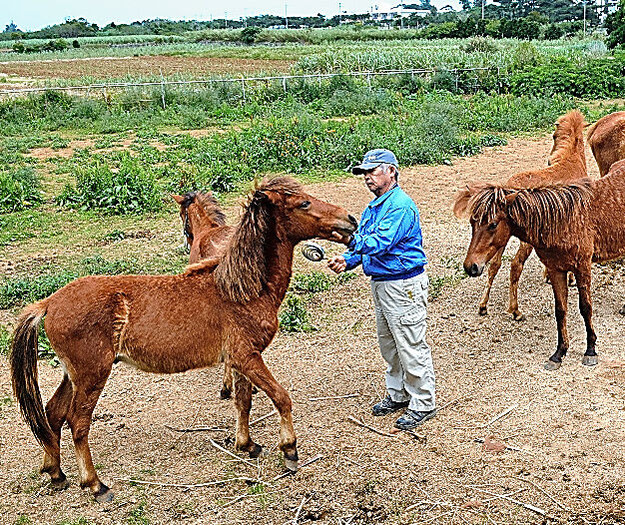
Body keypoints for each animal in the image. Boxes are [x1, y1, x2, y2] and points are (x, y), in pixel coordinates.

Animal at [450, 160, 625, 368]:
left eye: (493, 224)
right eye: (472, 222)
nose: (471, 266)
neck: (562, 221)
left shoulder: (582, 267)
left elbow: (586, 308)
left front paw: (590, 350)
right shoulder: (555, 269)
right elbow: (560, 310)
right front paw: (559, 353)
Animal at [476, 109, 588, 320]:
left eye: (554, 135)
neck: (572, 160)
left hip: (501, 236)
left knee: (494, 265)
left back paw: (483, 305)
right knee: (515, 266)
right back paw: (515, 310)